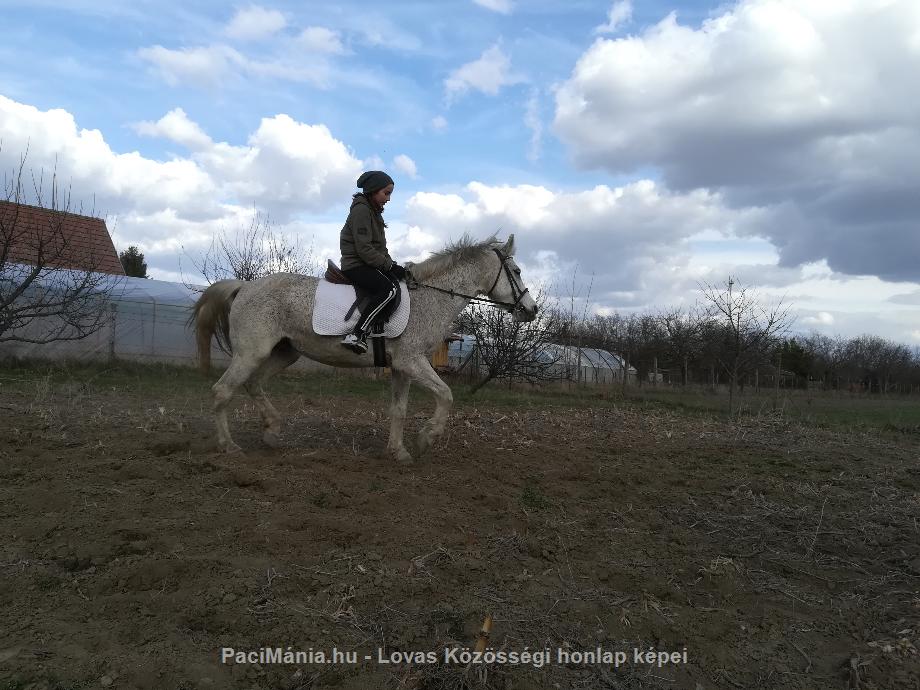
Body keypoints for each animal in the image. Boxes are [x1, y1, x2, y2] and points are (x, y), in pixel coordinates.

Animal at [194, 232, 540, 462]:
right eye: (517, 272)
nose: (532, 310)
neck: (431, 297)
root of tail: (244, 287)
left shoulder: (402, 367)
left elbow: (399, 409)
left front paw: (398, 451)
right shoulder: (412, 361)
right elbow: (446, 394)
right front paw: (426, 438)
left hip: (284, 352)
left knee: (253, 384)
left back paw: (271, 431)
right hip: (251, 353)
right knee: (222, 391)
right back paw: (229, 446)